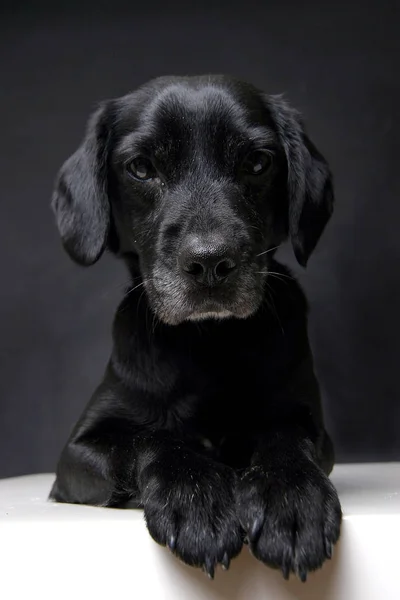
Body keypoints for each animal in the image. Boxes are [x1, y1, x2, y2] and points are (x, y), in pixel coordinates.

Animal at [50, 75, 342, 580]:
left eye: (257, 162)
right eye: (141, 167)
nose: (209, 263)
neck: (209, 344)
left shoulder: (310, 427)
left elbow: (285, 440)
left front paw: (292, 502)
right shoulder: (78, 451)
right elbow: (152, 438)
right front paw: (197, 497)